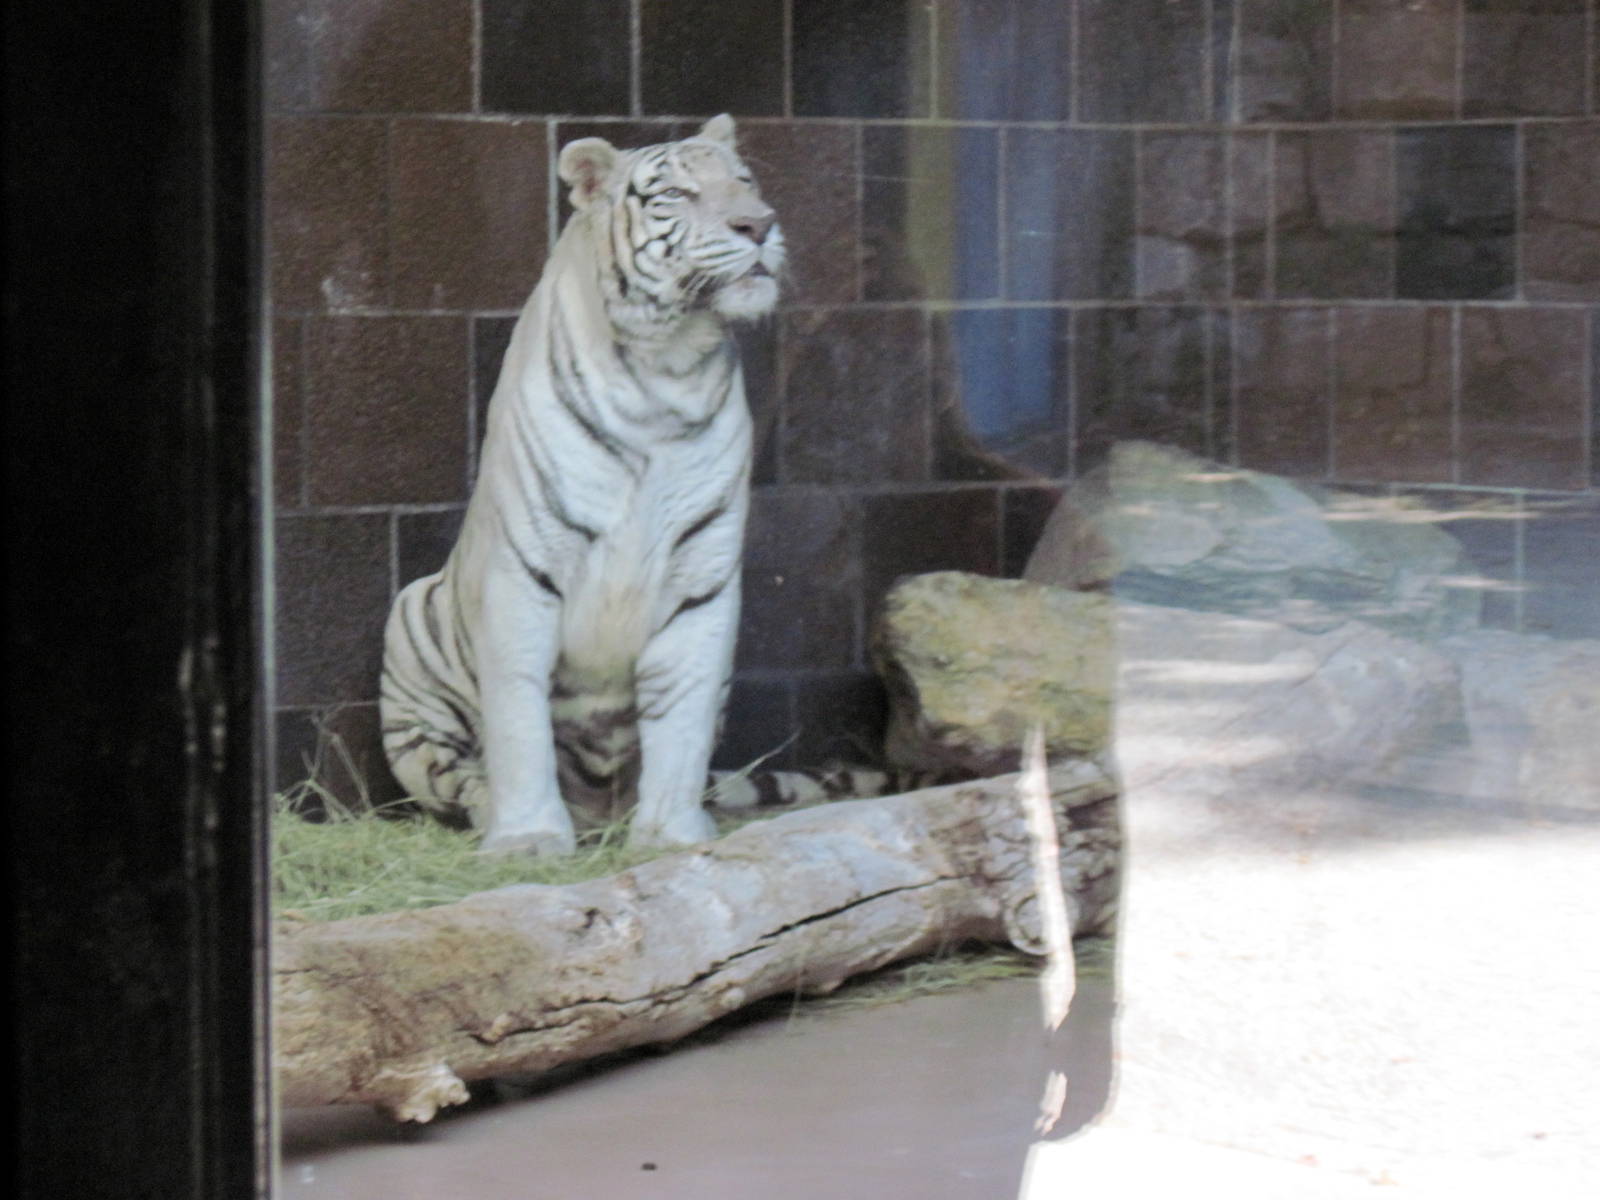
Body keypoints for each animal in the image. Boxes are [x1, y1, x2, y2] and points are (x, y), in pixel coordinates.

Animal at [380, 115, 787, 856]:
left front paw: (672, 833)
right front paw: (529, 837)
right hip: (411, 634)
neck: (665, 371)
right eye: (678, 194)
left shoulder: (703, 576)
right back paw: (493, 812)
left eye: (745, 183)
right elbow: (518, 714)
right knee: (452, 775)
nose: (759, 224)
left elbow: (682, 714)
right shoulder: (523, 570)